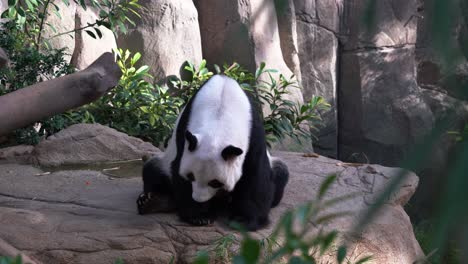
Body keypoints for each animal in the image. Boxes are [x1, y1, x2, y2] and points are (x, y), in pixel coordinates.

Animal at [135, 74, 288, 231]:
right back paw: (152, 202)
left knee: (281, 173)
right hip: (163, 162)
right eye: (191, 176)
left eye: (215, 182)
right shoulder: (184, 135)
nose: (198, 198)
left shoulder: (254, 134)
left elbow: (255, 175)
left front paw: (243, 220)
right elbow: (178, 170)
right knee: (152, 171)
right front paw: (199, 216)